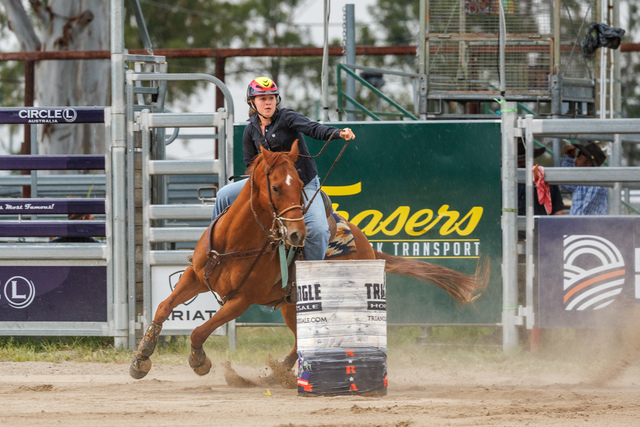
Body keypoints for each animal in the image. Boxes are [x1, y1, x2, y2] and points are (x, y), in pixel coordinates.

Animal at [129, 140, 489, 379]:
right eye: (275, 187)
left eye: (301, 183)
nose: (296, 235)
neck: (238, 241)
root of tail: (367, 246)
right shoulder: (195, 276)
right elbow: (163, 306)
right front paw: (141, 357)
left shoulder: (241, 299)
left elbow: (200, 330)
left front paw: (199, 361)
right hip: (291, 307)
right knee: (298, 337)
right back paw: (282, 369)